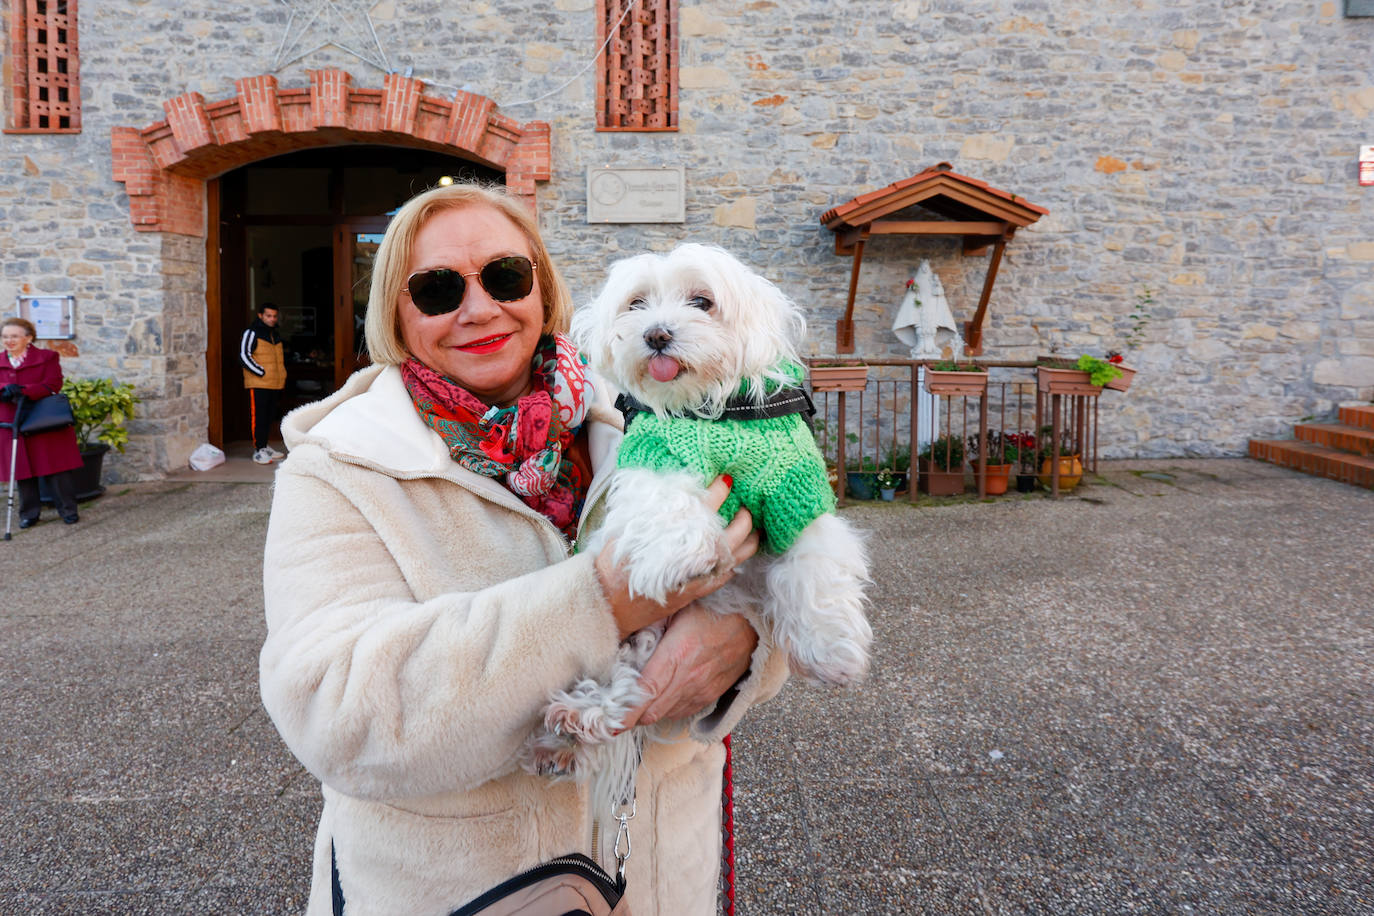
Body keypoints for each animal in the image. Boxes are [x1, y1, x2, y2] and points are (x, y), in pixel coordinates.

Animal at [519, 245, 873, 807]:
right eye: (636, 303)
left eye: (702, 302)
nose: (656, 334)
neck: (713, 416)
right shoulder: (655, 454)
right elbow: (664, 501)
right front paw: (680, 557)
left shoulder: (795, 489)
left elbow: (816, 566)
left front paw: (830, 648)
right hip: (634, 626)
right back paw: (573, 724)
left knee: (634, 687)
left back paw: (574, 730)